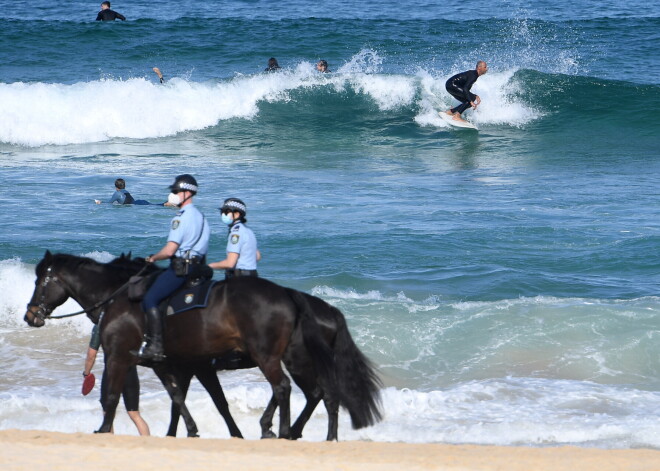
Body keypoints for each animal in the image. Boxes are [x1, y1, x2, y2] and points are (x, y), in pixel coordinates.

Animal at [24, 253, 382, 440]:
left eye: (40, 281)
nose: (30, 315)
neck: (120, 296)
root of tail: (290, 296)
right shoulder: (176, 365)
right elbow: (181, 399)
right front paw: (187, 432)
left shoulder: (120, 357)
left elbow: (113, 396)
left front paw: (103, 430)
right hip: (295, 360)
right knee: (321, 394)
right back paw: (309, 434)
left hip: (277, 358)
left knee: (290, 389)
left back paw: (281, 431)